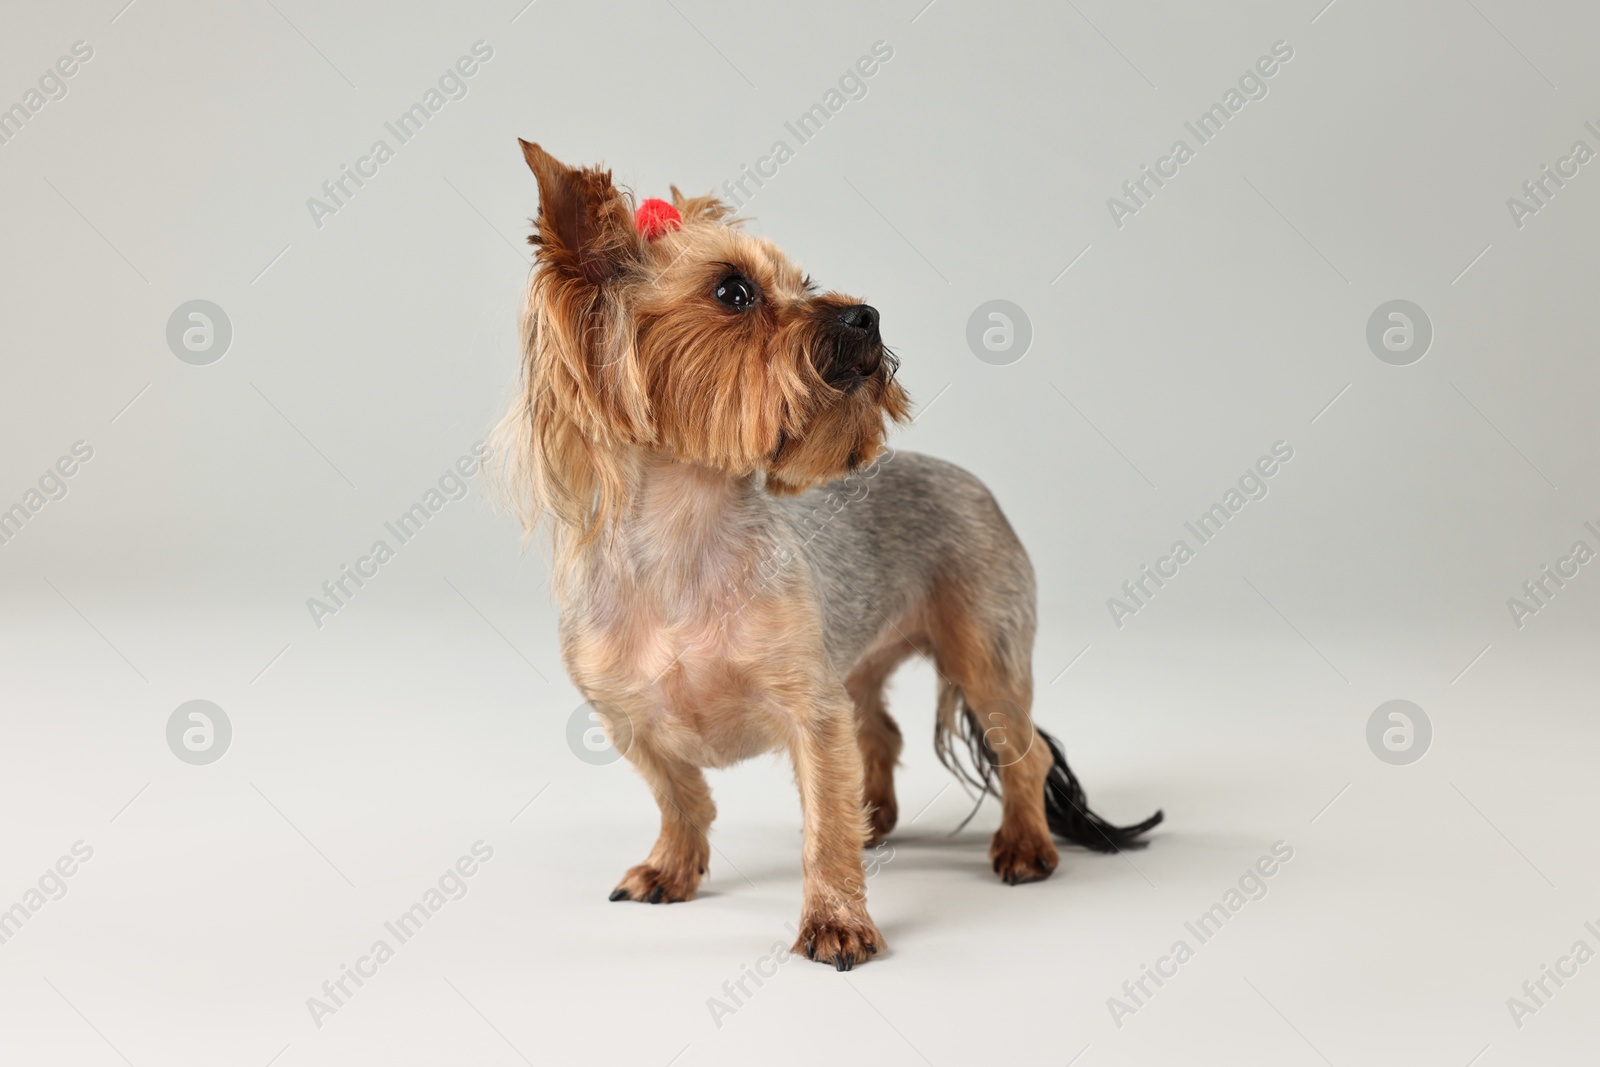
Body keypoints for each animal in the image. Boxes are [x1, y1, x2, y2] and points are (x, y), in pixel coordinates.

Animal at [486, 143, 1164, 979]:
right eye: (734, 291)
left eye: (804, 281)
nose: (864, 313)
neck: (687, 536)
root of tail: (966, 476)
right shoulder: (627, 716)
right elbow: (681, 794)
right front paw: (673, 865)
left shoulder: (809, 708)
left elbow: (823, 826)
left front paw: (837, 920)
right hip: (862, 661)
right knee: (880, 731)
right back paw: (879, 815)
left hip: (985, 647)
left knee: (1023, 750)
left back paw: (1025, 844)